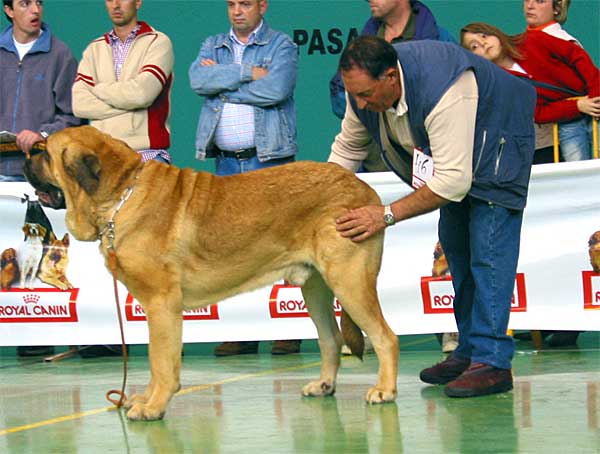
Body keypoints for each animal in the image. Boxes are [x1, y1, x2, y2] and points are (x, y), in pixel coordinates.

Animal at [24, 125, 398, 422]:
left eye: (43, 152)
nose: (25, 155)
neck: (121, 196)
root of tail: (365, 189)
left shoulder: (162, 305)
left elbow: (161, 361)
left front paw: (153, 407)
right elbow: (156, 361)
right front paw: (146, 398)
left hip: (349, 281)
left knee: (384, 336)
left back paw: (384, 390)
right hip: (316, 288)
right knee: (330, 338)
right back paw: (324, 385)